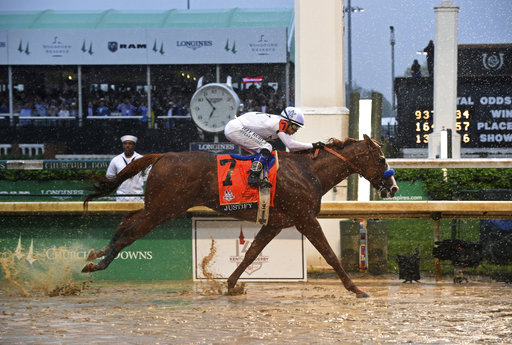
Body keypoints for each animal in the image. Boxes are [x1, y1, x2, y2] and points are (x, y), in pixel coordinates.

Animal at [83, 134, 396, 296]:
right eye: (381, 159)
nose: (392, 187)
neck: (308, 171)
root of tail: (163, 156)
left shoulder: (275, 223)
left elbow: (251, 253)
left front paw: (232, 285)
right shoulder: (305, 219)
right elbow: (330, 254)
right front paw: (356, 288)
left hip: (158, 205)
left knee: (127, 220)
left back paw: (97, 254)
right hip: (164, 208)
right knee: (132, 231)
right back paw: (97, 262)